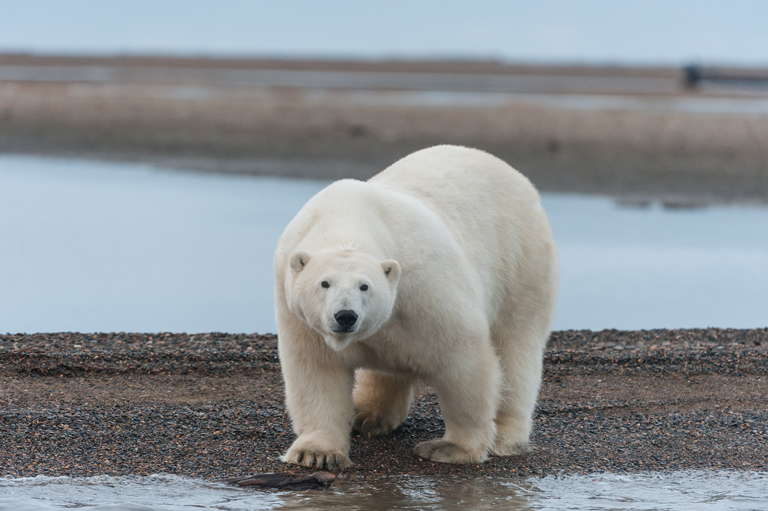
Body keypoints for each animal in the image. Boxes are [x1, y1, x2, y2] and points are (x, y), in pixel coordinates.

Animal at [274, 144, 560, 468]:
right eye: (324, 283)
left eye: (364, 286)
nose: (345, 316)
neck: (348, 216)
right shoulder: (299, 313)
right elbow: (317, 372)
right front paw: (316, 453)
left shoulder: (424, 288)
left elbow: (463, 361)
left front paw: (452, 448)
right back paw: (368, 415)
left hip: (520, 264)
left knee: (515, 349)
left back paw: (505, 438)